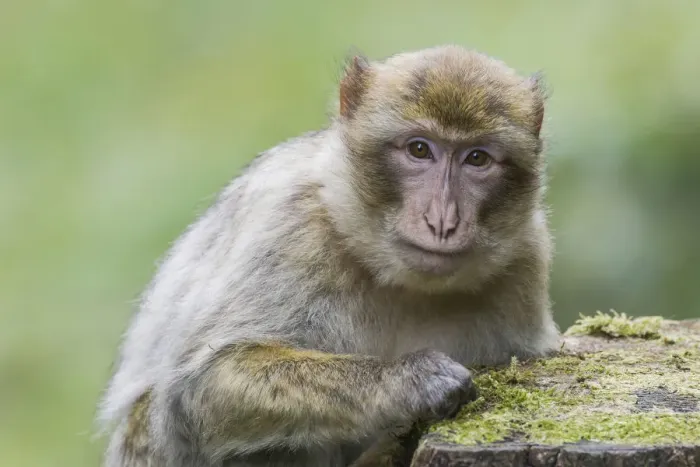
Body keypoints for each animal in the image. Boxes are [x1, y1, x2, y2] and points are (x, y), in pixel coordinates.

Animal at [97, 44, 560, 467]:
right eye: (419, 150)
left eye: (477, 158)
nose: (442, 221)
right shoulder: (291, 229)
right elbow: (198, 389)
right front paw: (409, 381)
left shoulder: (526, 262)